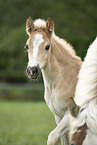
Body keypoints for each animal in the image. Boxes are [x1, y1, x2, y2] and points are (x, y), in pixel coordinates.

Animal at [24, 17, 81, 145]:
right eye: (27, 46)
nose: (32, 70)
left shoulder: (71, 114)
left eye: (47, 46)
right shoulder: (58, 116)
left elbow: (53, 137)